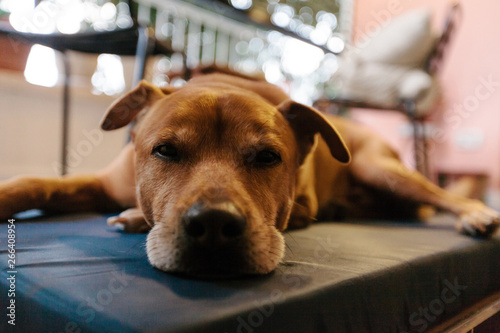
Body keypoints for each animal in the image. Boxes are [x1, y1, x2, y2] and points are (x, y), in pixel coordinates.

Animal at [0, 74, 500, 276]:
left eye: (266, 157)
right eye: (164, 150)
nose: (214, 226)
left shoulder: (303, 209)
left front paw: (134, 219)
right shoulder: (103, 183)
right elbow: (36, 184)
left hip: (381, 167)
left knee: (444, 195)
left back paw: (476, 215)